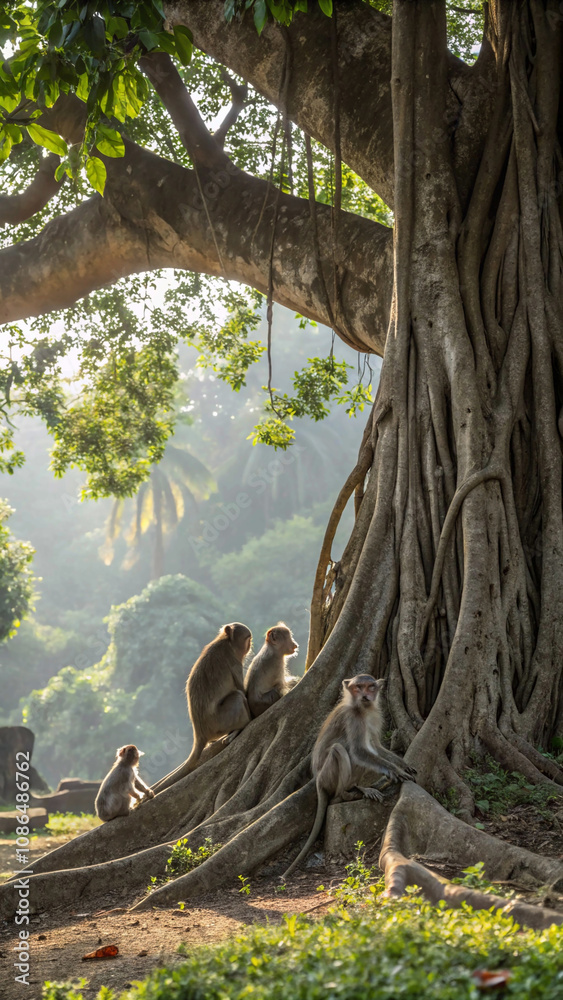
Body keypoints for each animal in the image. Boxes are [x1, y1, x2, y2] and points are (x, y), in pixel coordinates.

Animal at [152, 622, 252, 794]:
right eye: (247, 639)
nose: (251, 645)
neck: (226, 642)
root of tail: (200, 733)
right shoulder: (233, 661)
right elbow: (243, 690)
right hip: (220, 722)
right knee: (237, 696)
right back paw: (240, 727)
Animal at [282, 674, 416, 878]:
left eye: (370, 687)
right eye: (357, 687)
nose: (365, 696)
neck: (362, 709)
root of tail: (318, 780)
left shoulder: (373, 716)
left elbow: (375, 746)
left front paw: (402, 765)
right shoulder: (354, 718)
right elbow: (359, 750)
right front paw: (395, 771)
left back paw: (358, 788)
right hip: (328, 775)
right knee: (341, 749)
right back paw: (345, 794)